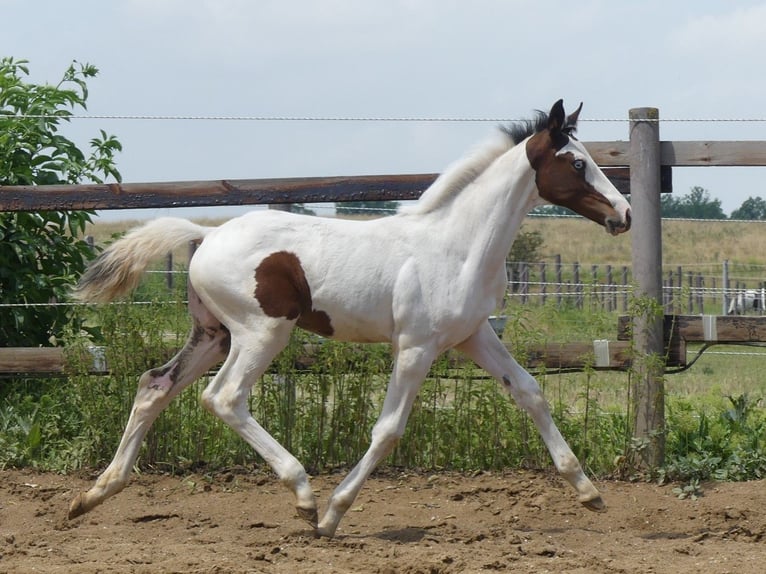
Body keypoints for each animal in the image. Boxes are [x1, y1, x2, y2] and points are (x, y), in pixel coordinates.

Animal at [69, 99, 631, 538]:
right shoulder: (416, 347)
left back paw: (94, 494)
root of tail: (205, 235)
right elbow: (388, 430)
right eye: (576, 163)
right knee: (223, 398)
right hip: (261, 332)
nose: (623, 214)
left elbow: (530, 392)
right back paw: (303, 495)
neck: (456, 245)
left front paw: (589, 493)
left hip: (214, 334)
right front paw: (333, 514)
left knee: (154, 385)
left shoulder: (472, 336)